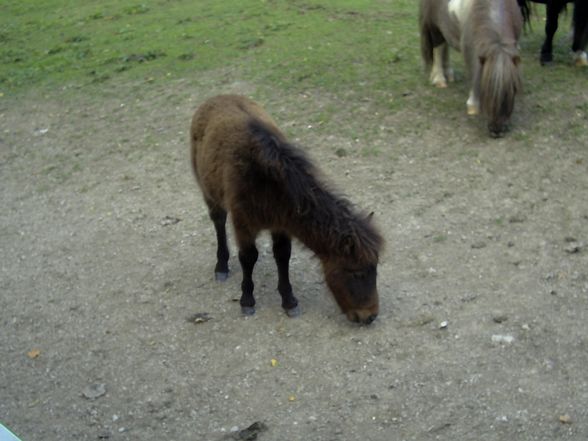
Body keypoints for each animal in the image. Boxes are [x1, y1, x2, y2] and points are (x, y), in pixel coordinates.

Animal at [189, 94, 382, 324]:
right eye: (355, 272)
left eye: (375, 269)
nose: (369, 316)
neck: (267, 183)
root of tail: (216, 98)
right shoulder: (243, 224)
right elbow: (248, 257)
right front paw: (247, 301)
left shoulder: (281, 224)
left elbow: (282, 256)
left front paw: (289, 300)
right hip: (209, 193)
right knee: (218, 222)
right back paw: (221, 266)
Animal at [418, 0, 524, 137]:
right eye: (486, 89)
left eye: (513, 89)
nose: (496, 130)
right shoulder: (471, 51)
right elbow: (475, 74)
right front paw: (473, 106)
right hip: (434, 26)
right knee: (438, 48)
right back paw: (439, 79)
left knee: (445, 45)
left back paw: (449, 74)